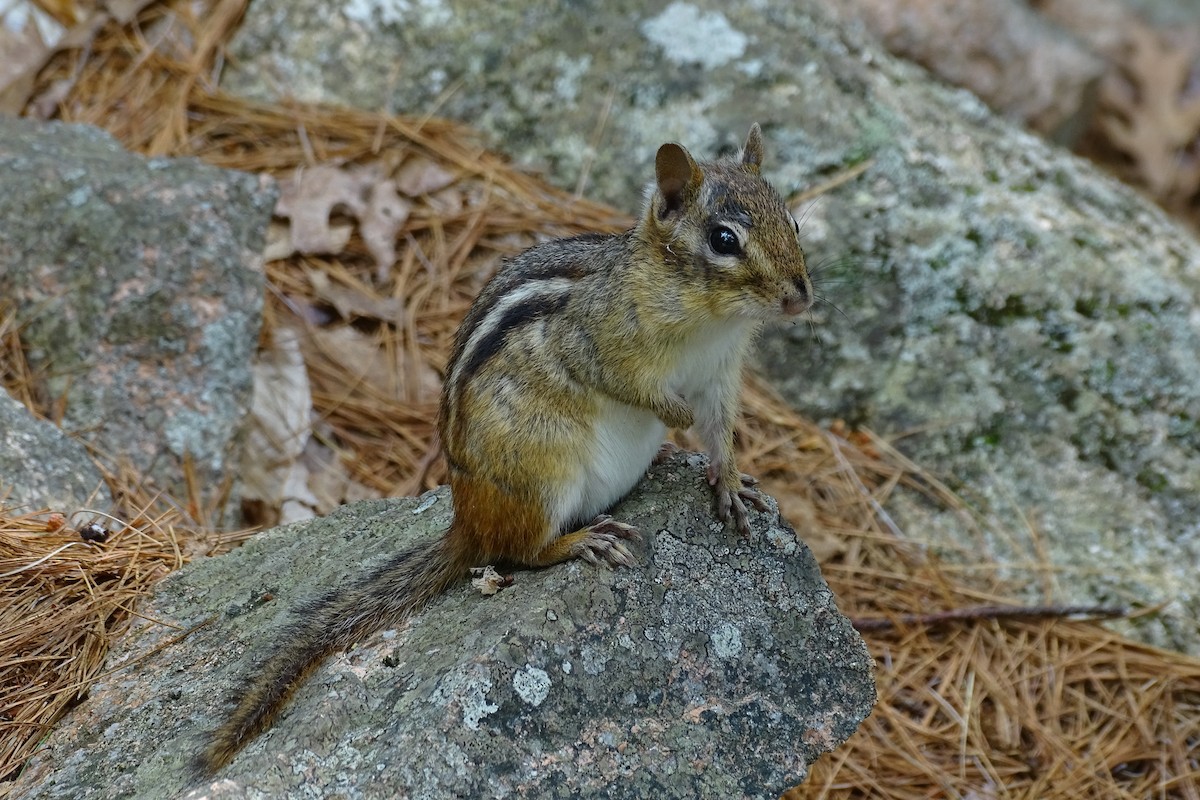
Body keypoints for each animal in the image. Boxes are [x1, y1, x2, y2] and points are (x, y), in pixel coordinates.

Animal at [194, 123, 813, 776]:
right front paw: (676, 417)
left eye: (794, 222)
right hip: (544, 473)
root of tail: (468, 522)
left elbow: (722, 429)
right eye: (724, 240)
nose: (801, 298)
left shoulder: (720, 372)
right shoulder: (599, 342)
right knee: (521, 551)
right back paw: (580, 541)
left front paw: (731, 482)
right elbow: (628, 385)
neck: (706, 317)